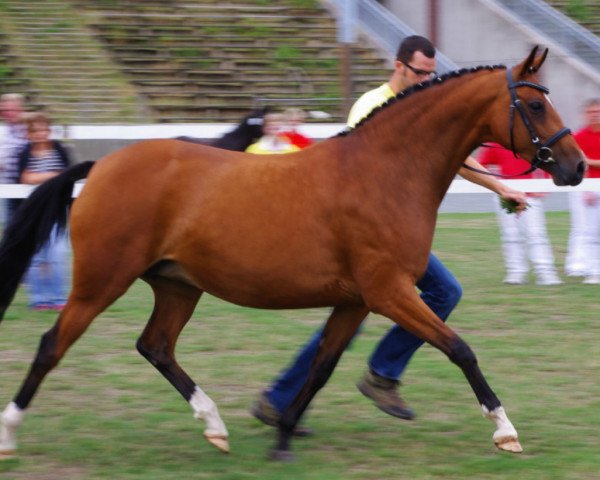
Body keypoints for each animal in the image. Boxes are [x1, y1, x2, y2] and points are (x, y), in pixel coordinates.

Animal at [0, 47, 584, 462]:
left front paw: (282, 435)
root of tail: (100, 166)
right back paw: (10, 432)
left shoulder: (356, 301)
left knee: (156, 347)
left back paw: (215, 426)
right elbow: (460, 349)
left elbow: (321, 367)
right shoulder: (389, 292)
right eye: (535, 104)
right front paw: (505, 431)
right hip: (102, 280)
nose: (576, 167)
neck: (385, 172)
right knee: (53, 345)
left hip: (177, 284)